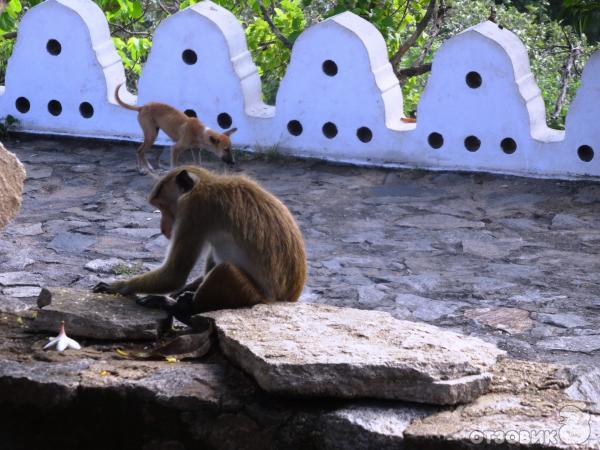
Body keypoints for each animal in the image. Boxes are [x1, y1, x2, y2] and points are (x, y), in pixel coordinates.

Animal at [94, 166, 310, 320]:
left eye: (163, 207)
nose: (163, 228)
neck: (205, 184)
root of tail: (288, 299)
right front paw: (180, 292)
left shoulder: (193, 212)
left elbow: (174, 274)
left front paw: (118, 286)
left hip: (255, 299)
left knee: (225, 271)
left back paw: (184, 308)